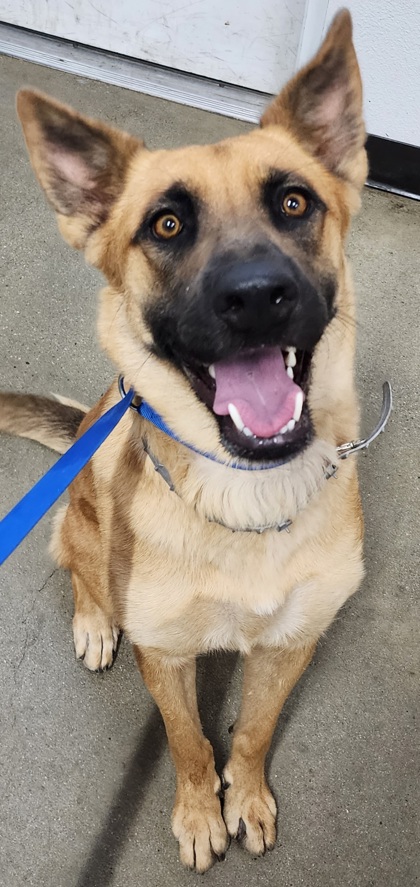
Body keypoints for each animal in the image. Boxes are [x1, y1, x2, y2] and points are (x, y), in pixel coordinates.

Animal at [0, 8, 368, 876]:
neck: (247, 494)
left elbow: (253, 730)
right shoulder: (164, 655)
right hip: (82, 517)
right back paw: (93, 621)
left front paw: (248, 796)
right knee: (78, 568)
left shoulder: (293, 642)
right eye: (166, 225)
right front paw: (202, 812)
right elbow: (190, 741)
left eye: (295, 202)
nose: (259, 297)